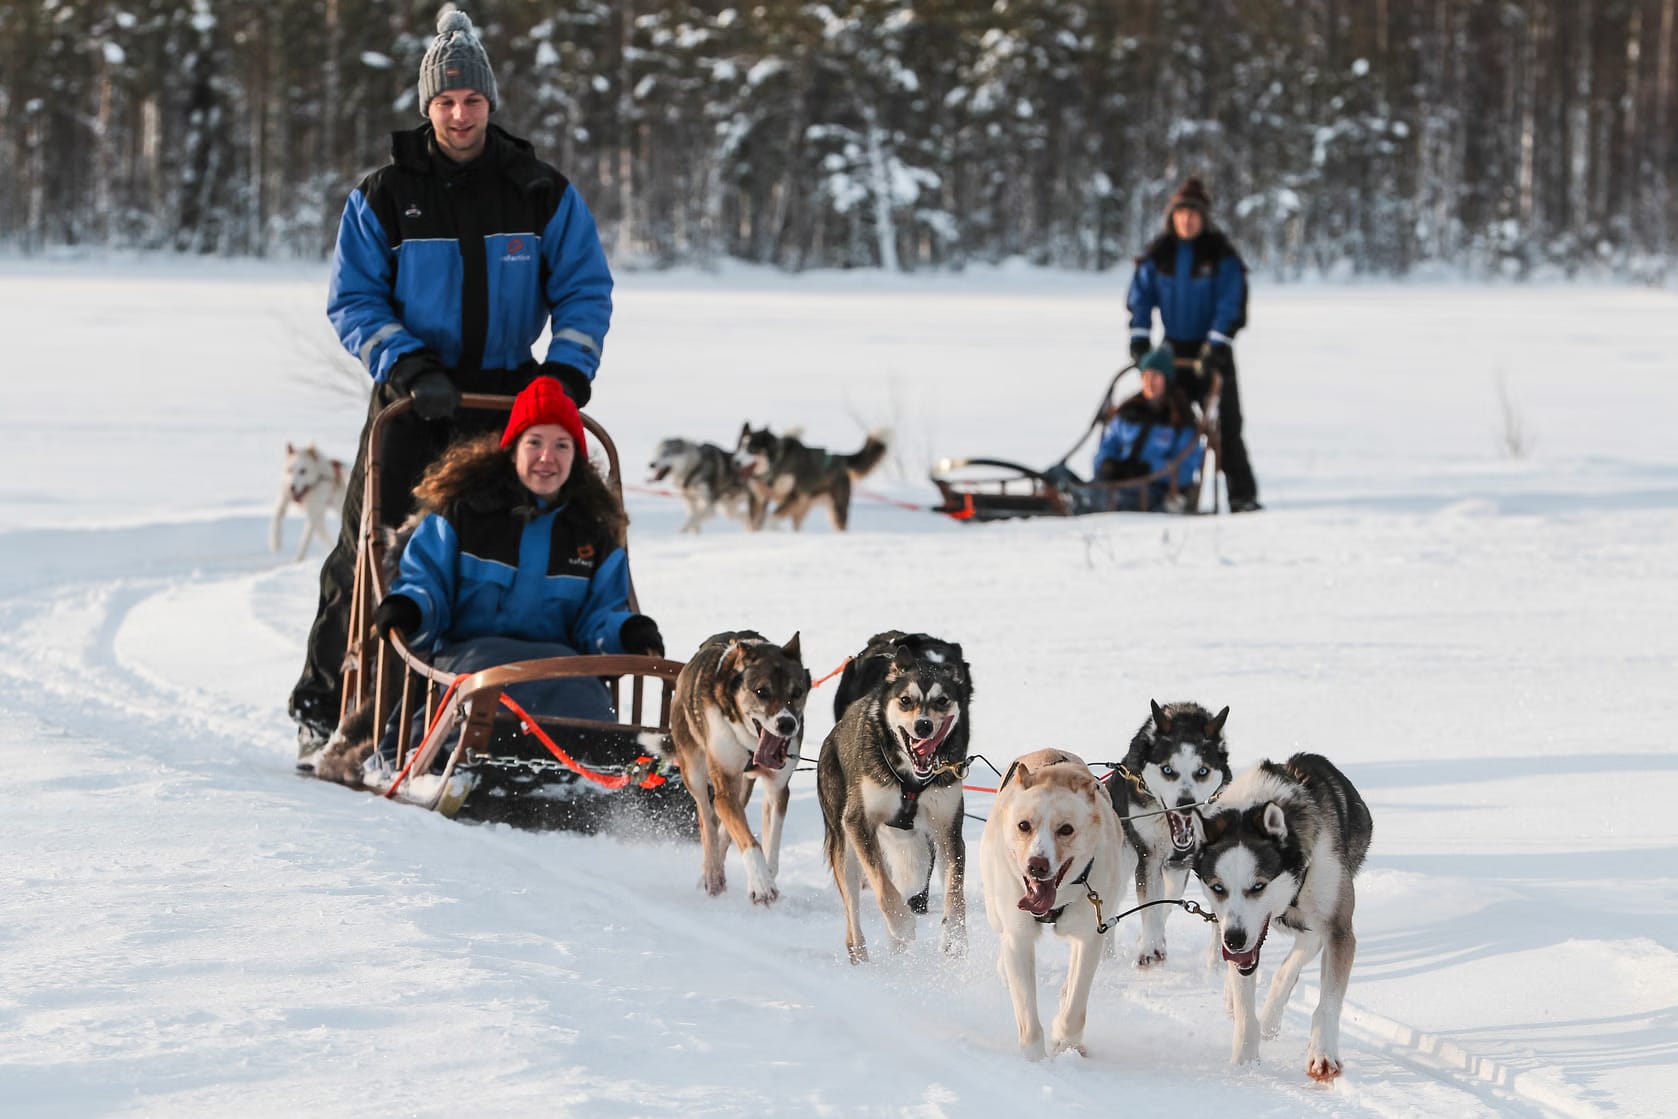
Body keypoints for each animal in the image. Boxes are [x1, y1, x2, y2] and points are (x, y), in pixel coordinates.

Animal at [979, 751, 1134, 1060]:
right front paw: (1035, 1060)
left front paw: (1065, 1041)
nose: (1037, 865)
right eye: (1024, 825)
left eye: (1066, 829)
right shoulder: (1019, 936)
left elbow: (1075, 1006)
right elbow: (1027, 1012)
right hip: (995, 911)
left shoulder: (1089, 936)